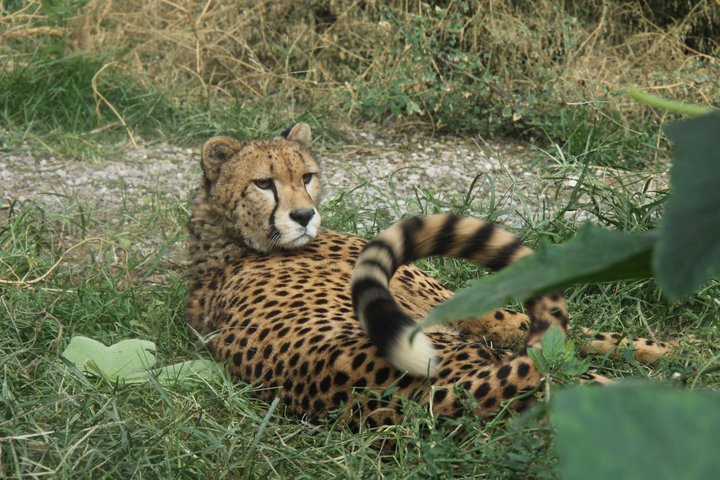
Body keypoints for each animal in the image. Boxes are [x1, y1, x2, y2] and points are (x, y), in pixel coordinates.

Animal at [187, 123, 676, 428]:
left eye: (307, 176)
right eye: (263, 183)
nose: (304, 216)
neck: (228, 241)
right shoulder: (468, 310)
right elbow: (585, 333)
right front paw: (670, 349)